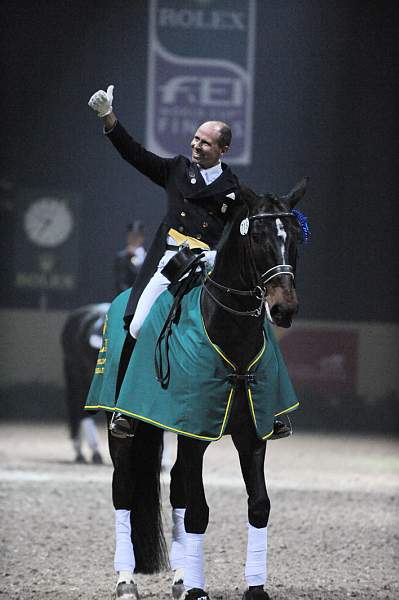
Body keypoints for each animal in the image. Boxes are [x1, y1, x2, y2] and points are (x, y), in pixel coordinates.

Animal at [104, 179, 308, 600]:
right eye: (258, 237)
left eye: (296, 237)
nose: (284, 309)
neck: (230, 335)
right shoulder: (195, 435)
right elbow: (199, 512)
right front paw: (199, 590)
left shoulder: (250, 435)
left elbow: (258, 505)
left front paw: (254, 588)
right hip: (127, 431)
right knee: (124, 490)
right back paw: (126, 580)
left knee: (177, 491)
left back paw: (182, 577)